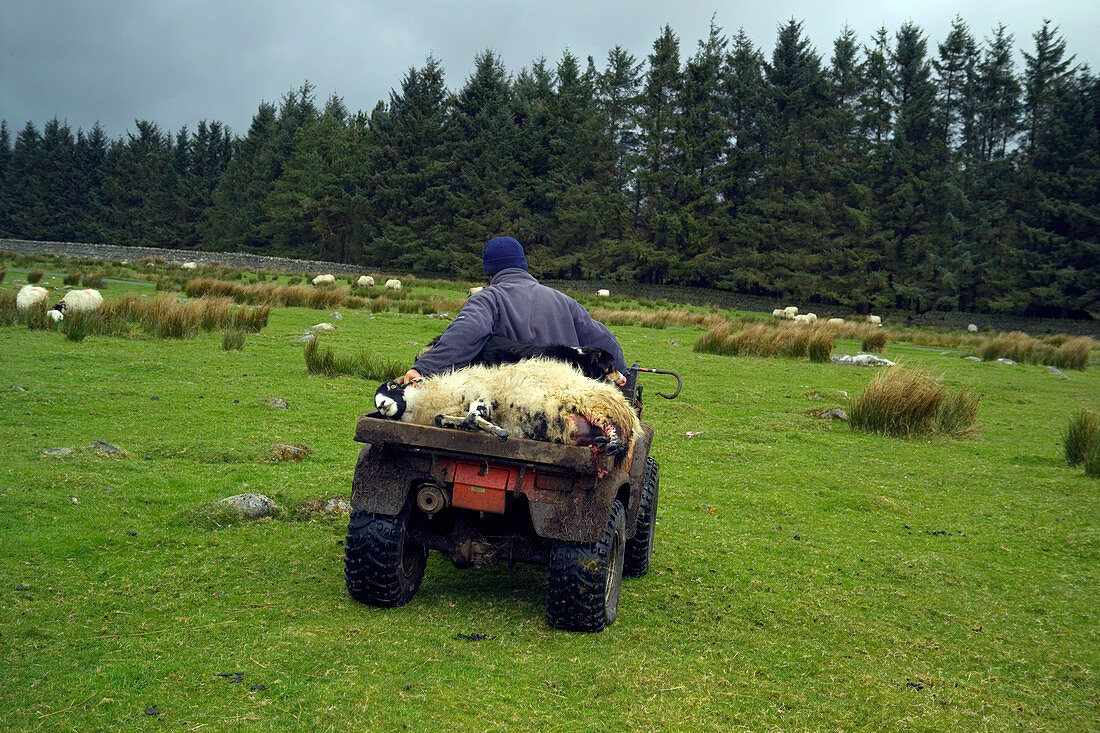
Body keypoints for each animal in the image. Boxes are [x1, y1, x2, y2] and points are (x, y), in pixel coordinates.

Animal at [374, 356, 642, 460]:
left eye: (391, 386)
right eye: (376, 401)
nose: (382, 404)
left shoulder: (482, 393)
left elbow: (474, 414)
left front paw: (494, 429)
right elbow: (446, 419)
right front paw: (483, 428)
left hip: (588, 402)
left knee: (612, 425)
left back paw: (614, 442)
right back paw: (599, 442)